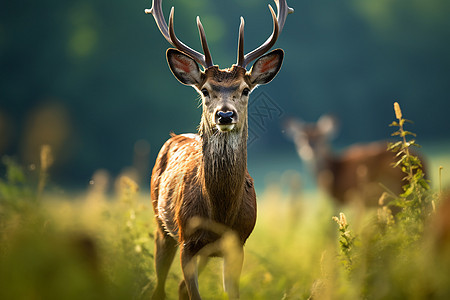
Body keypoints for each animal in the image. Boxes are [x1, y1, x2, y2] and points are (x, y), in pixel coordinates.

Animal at [144, 1, 292, 298]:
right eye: (205, 90)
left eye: (245, 89)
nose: (225, 115)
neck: (220, 214)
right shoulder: (187, 241)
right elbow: (193, 292)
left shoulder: (238, 243)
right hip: (160, 224)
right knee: (160, 286)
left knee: (178, 287)